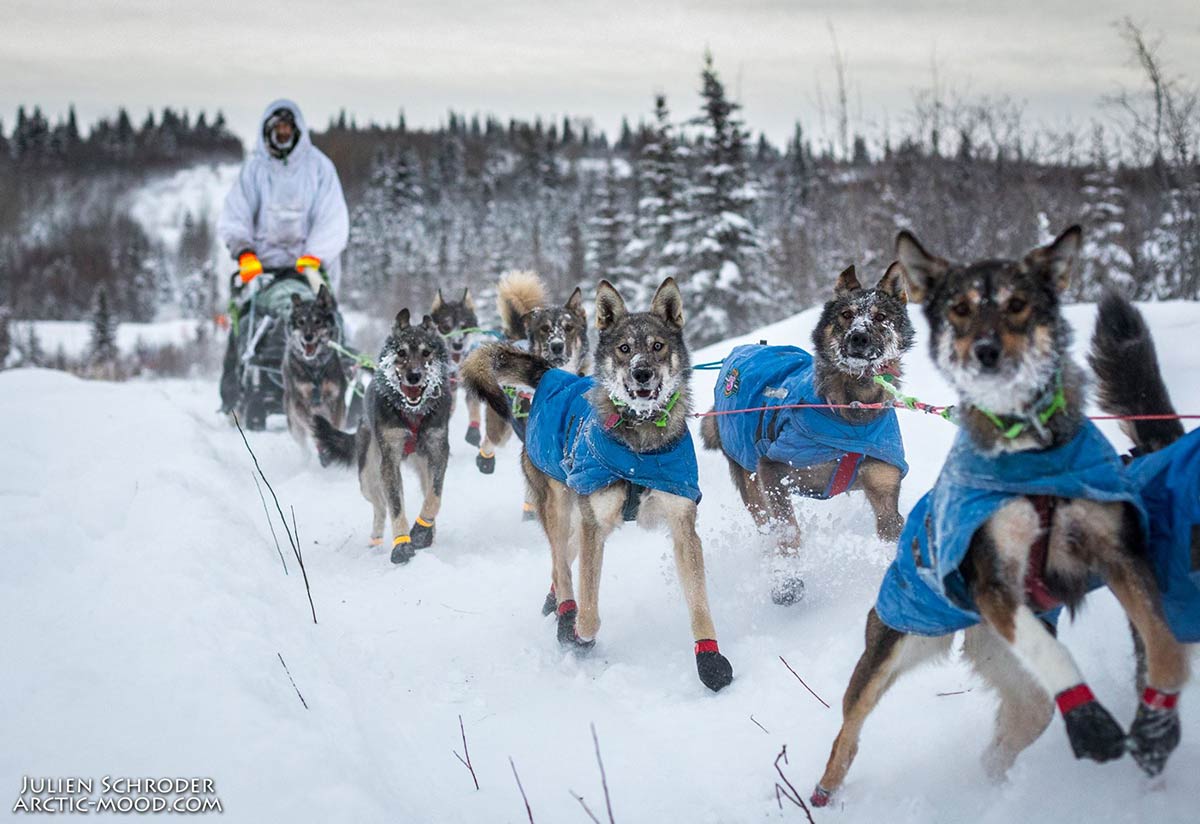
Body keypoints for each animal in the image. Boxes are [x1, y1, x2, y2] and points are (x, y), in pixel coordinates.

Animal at [283, 283, 350, 450]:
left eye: (317, 321)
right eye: (300, 322)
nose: (308, 337)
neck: (315, 369)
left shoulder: (336, 401)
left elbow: (335, 426)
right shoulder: (300, 405)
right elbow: (313, 427)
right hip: (294, 423)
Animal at [312, 311, 451, 566]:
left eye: (426, 352)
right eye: (401, 353)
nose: (414, 376)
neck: (412, 412)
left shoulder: (438, 451)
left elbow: (434, 498)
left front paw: (422, 531)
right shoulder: (389, 460)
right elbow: (396, 506)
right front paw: (402, 545)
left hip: (422, 466)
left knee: (425, 492)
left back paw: (430, 534)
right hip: (369, 475)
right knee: (380, 505)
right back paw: (376, 540)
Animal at [463, 280, 734, 690]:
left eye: (658, 345)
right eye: (624, 348)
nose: (642, 373)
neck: (640, 444)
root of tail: (552, 375)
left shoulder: (682, 525)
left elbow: (699, 603)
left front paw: (711, 660)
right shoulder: (595, 524)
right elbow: (589, 605)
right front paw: (578, 634)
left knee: (563, 558)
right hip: (559, 506)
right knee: (562, 563)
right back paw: (564, 613)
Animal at [811, 229, 1185, 810]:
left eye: (1018, 305)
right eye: (959, 310)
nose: (987, 353)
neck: (1031, 455)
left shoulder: (1120, 556)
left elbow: (1163, 643)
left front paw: (1154, 725)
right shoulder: (993, 581)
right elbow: (1057, 651)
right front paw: (1095, 721)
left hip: (1021, 688)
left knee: (1010, 735)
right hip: (891, 648)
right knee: (849, 728)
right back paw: (825, 789)